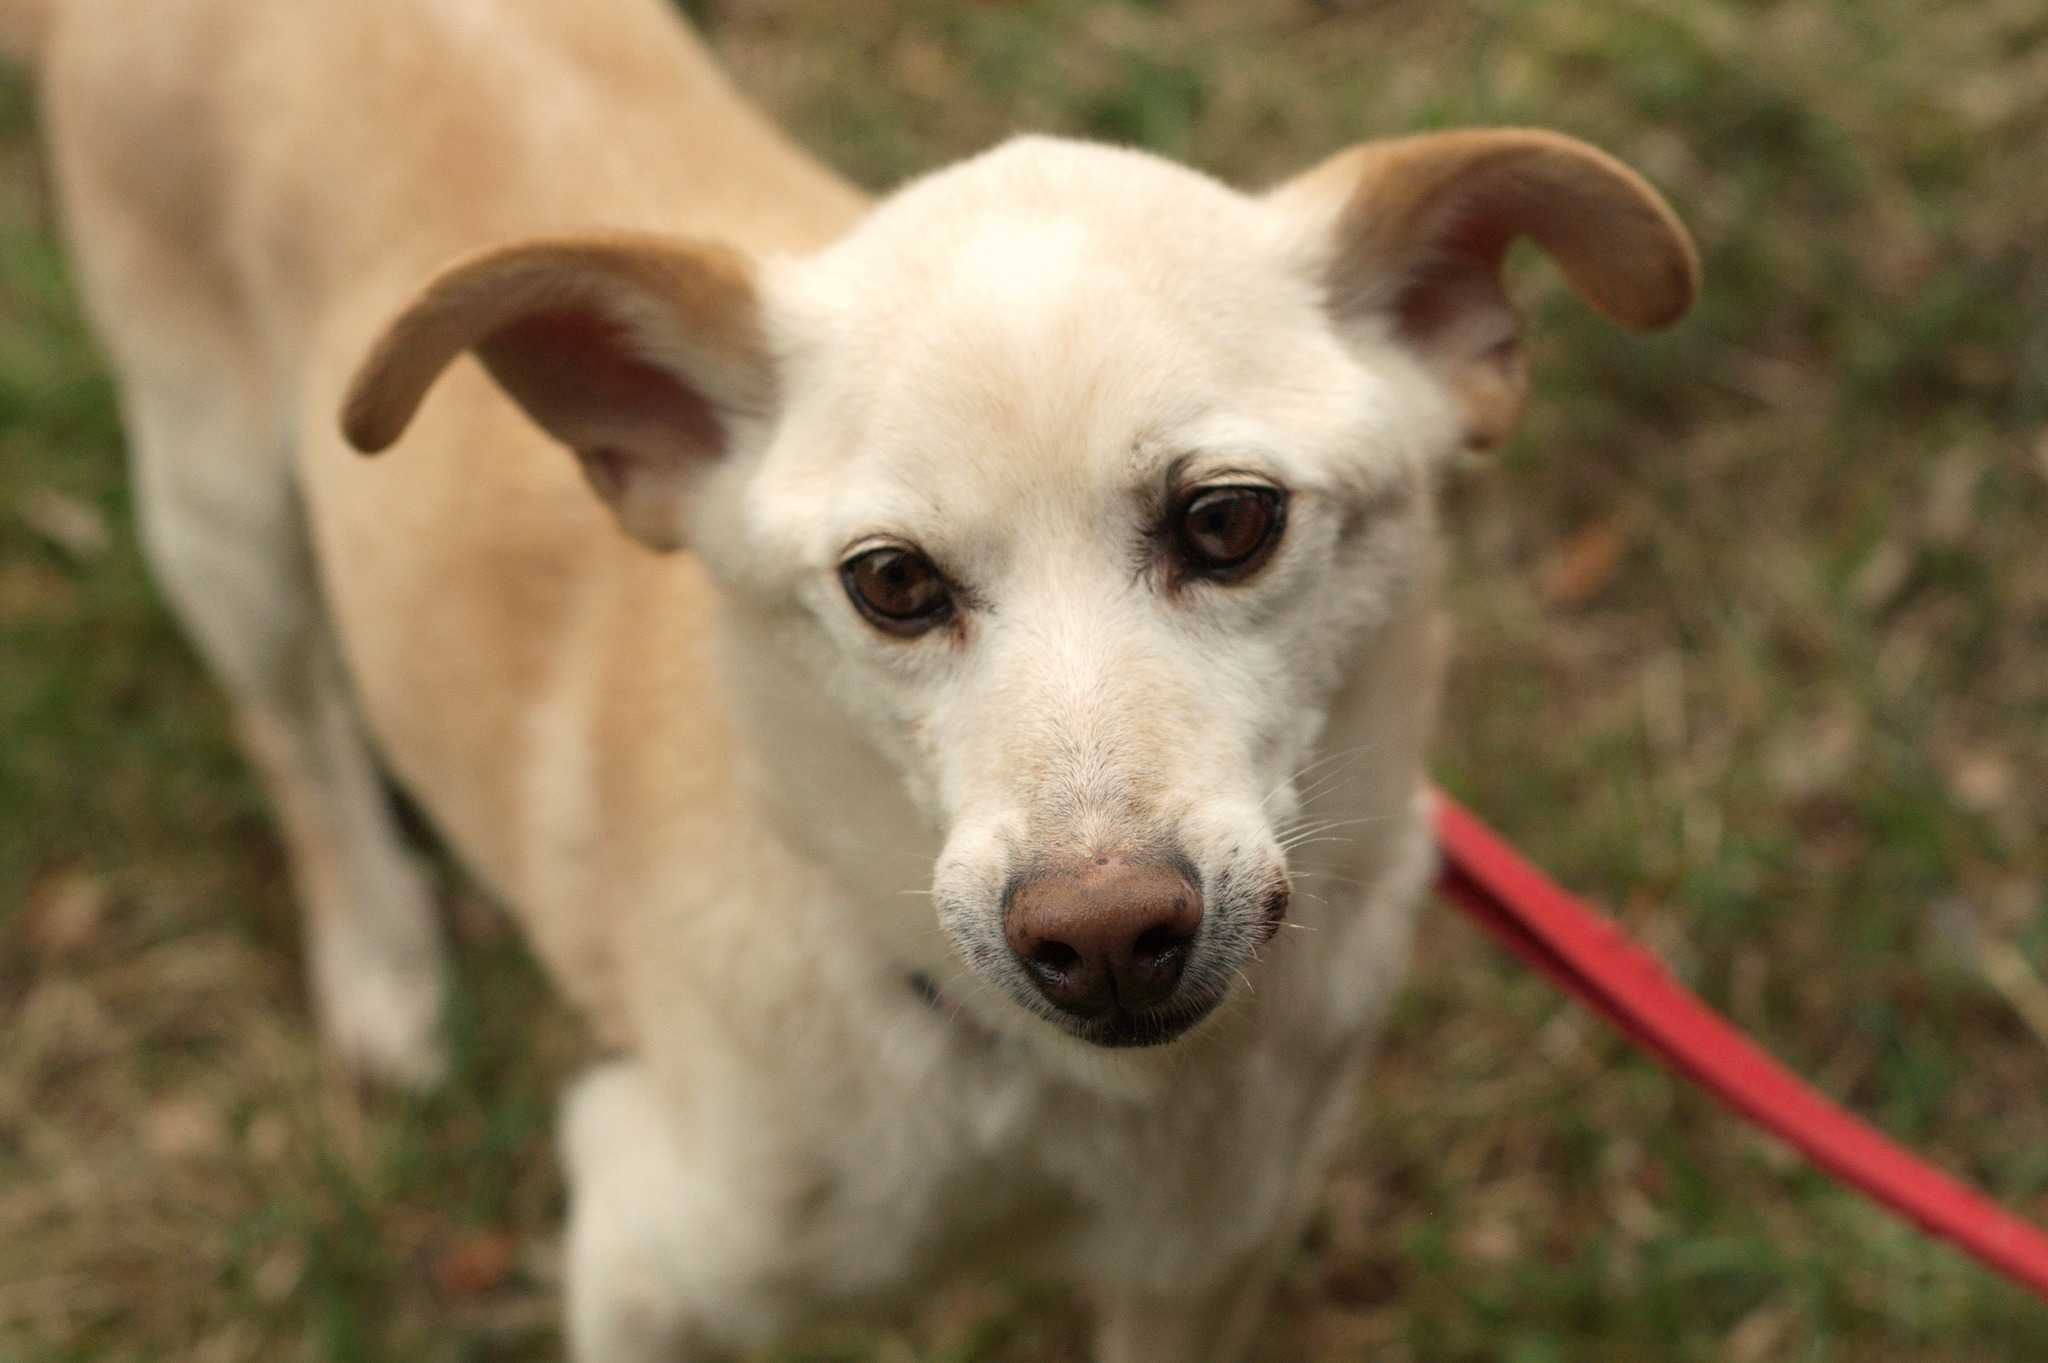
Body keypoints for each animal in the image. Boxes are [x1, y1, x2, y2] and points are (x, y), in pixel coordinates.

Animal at [4, 0, 1695, 1350]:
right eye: (892, 581)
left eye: (1228, 520)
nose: (1103, 935)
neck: (1042, 1096)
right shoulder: (639, 1252)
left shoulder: (1201, 1264)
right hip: (220, 502)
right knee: (290, 728)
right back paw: (383, 969)